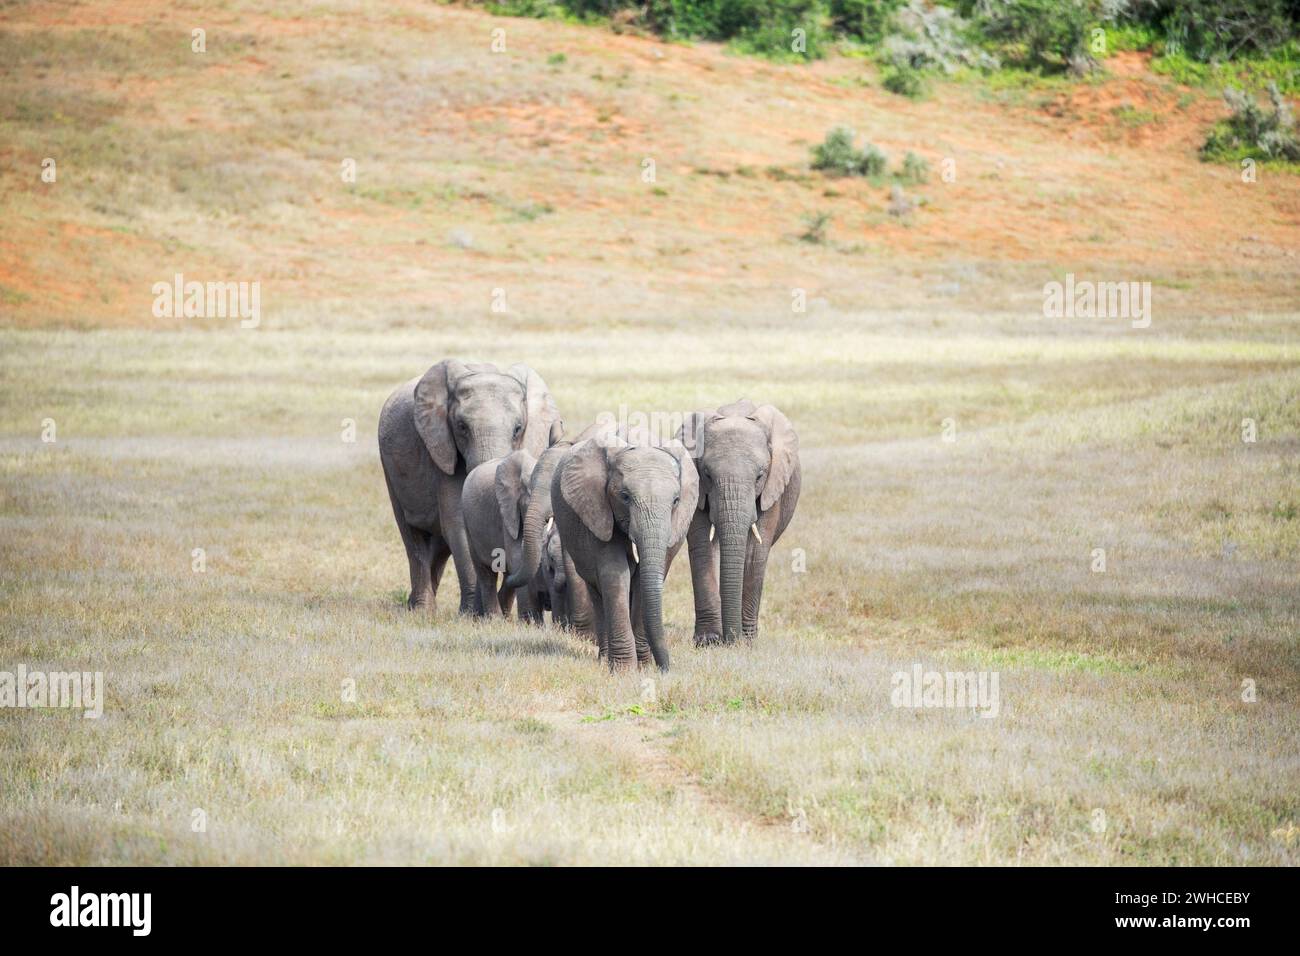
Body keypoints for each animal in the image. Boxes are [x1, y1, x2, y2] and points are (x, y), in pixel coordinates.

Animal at [377, 356, 559, 613]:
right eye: (462, 427)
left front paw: (495, 612)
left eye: (518, 429)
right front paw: (472, 614)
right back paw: (422, 609)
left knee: (439, 546)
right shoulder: (442, 449)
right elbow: (459, 524)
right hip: (390, 468)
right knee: (412, 536)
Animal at [548, 434, 696, 671]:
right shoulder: (597, 509)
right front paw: (623, 670)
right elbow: (616, 573)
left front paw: (643, 667)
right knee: (596, 588)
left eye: (676, 501)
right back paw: (603, 660)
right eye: (625, 497)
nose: (665, 669)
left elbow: (644, 578)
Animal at [676, 400, 795, 647]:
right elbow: (703, 547)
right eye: (707, 475)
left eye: (760, 476)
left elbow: (755, 553)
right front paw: (708, 641)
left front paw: (747, 642)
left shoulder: (773, 486)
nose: (732, 641)